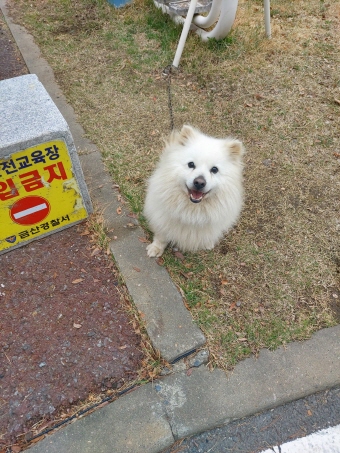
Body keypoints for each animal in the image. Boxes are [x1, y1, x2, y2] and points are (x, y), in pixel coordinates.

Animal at [143, 125, 244, 256]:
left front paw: (207, 243)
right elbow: (161, 236)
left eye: (214, 169)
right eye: (191, 164)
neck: (193, 210)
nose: (199, 182)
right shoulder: (163, 219)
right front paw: (156, 248)